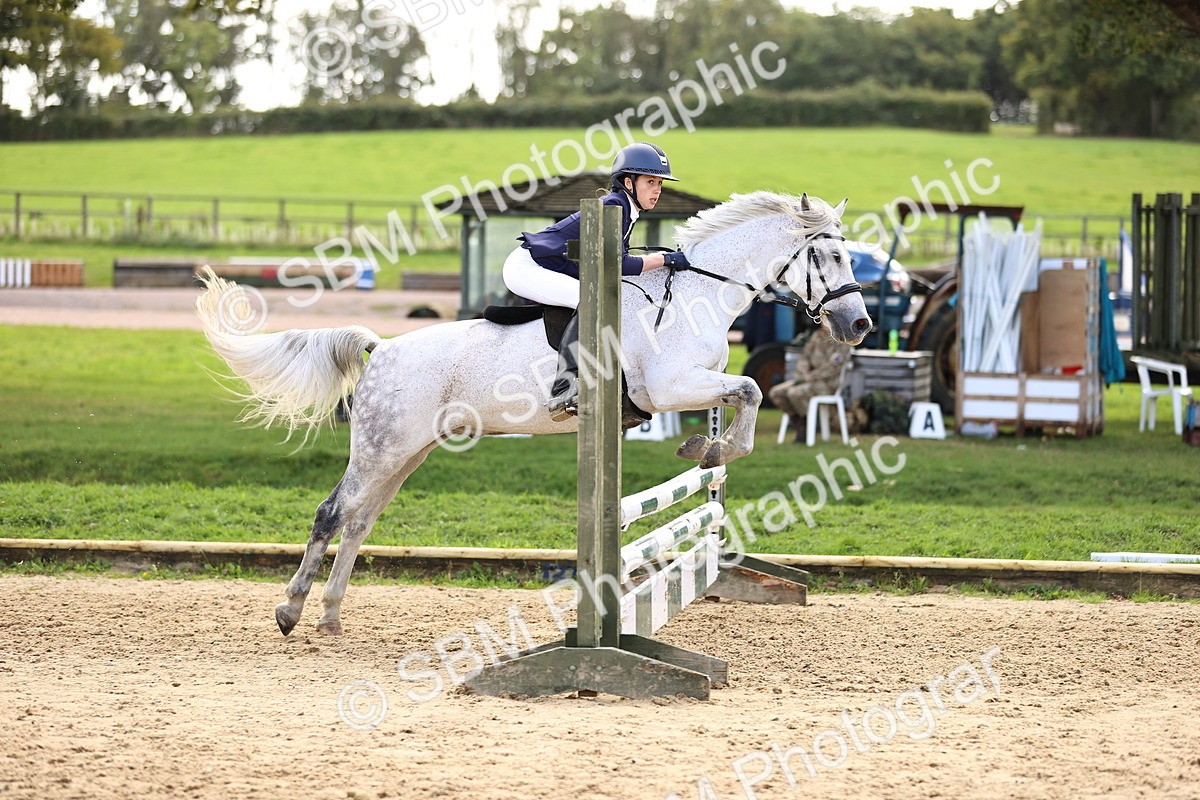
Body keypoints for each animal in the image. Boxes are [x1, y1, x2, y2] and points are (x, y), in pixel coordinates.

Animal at [195, 191, 871, 636]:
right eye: (833, 257)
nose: (860, 325)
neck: (698, 293)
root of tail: (380, 347)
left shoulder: (694, 385)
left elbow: (740, 395)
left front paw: (704, 449)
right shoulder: (668, 388)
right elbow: (753, 389)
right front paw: (716, 450)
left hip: (406, 452)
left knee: (358, 522)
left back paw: (331, 616)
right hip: (382, 448)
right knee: (332, 513)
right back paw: (290, 611)